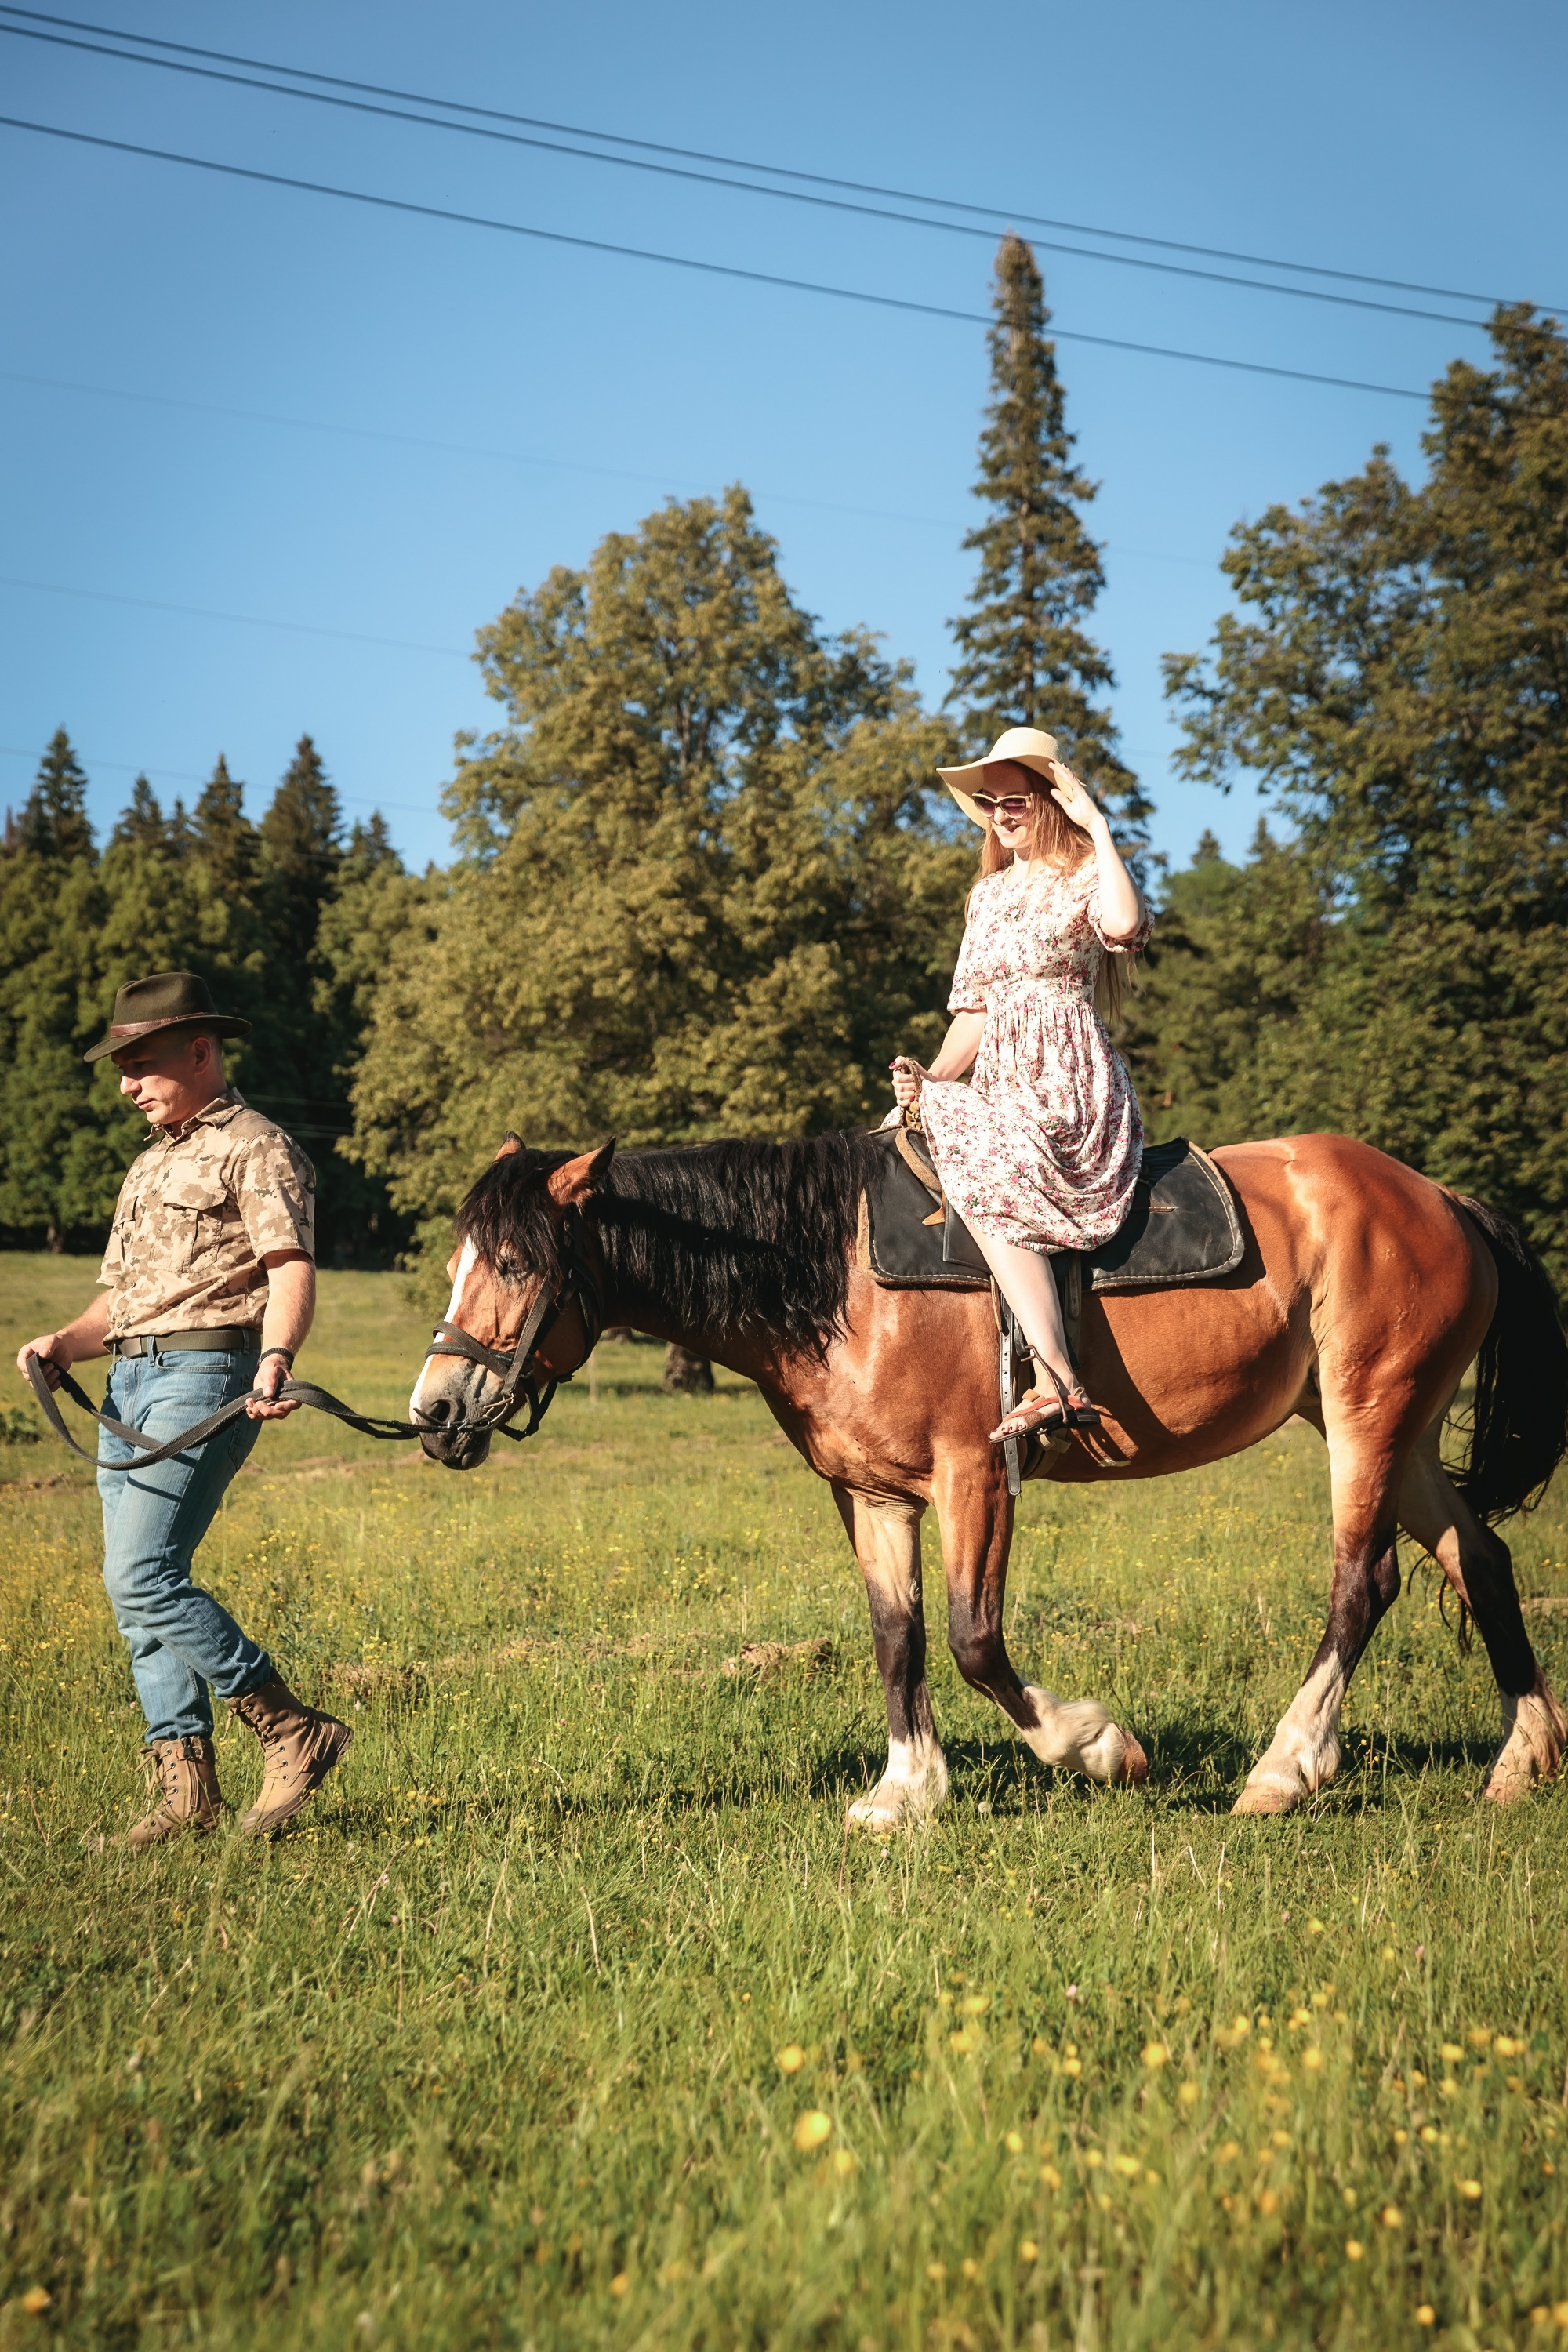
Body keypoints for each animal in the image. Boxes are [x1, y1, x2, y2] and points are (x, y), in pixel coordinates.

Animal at [408, 1129, 1568, 1825]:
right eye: (463, 1260)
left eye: (515, 1264)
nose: (433, 1414)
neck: (838, 1273)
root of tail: (1438, 1197)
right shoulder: (872, 1496)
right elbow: (898, 1636)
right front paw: (906, 1790)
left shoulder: (974, 1478)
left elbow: (972, 1640)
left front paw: (1095, 1745)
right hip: (1384, 1426)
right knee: (1480, 1560)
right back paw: (1523, 1759)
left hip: (1368, 1419)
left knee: (1362, 1584)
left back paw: (1284, 1769)